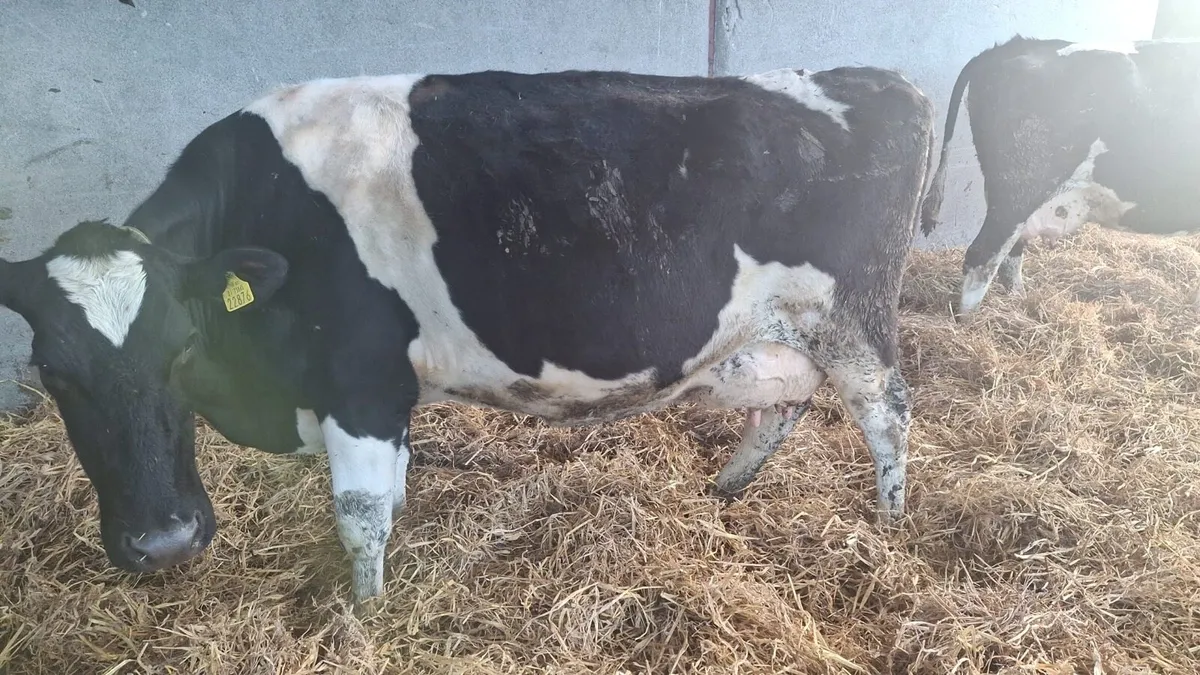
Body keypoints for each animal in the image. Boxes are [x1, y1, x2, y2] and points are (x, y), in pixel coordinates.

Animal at [0, 65, 935, 606]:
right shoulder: (383, 397)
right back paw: (729, 487)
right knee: (787, 398)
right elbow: (392, 495)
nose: (164, 543)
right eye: (53, 369)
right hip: (766, 332)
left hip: (852, 313)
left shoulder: (358, 381)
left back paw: (890, 529)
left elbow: (361, 516)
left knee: (885, 410)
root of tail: (876, 79)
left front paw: (365, 619)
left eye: (181, 349)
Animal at [921, 35, 1200, 315]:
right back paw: (969, 318)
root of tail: (1010, 46)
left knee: (1010, 256)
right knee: (983, 256)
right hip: (1020, 190)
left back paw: (1019, 303)